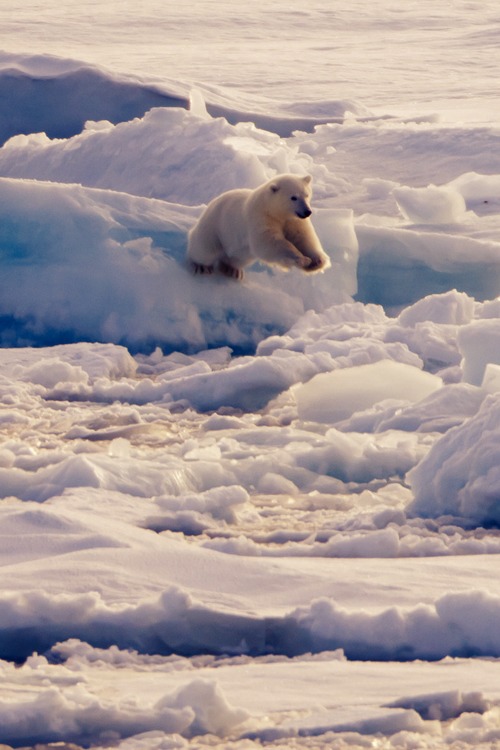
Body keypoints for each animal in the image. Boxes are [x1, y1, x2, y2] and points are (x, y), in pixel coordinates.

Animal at [186, 175, 330, 280]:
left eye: (306, 194)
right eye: (293, 197)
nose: (307, 212)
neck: (275, 211)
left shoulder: (294, 221)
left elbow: (303, 238)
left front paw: (317, 261)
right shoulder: (260, 218)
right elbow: (269, 242)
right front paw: (302, 259)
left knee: (238, 258)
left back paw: (233, 270)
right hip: (214, 227)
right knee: (204, 249)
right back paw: (202, 266)